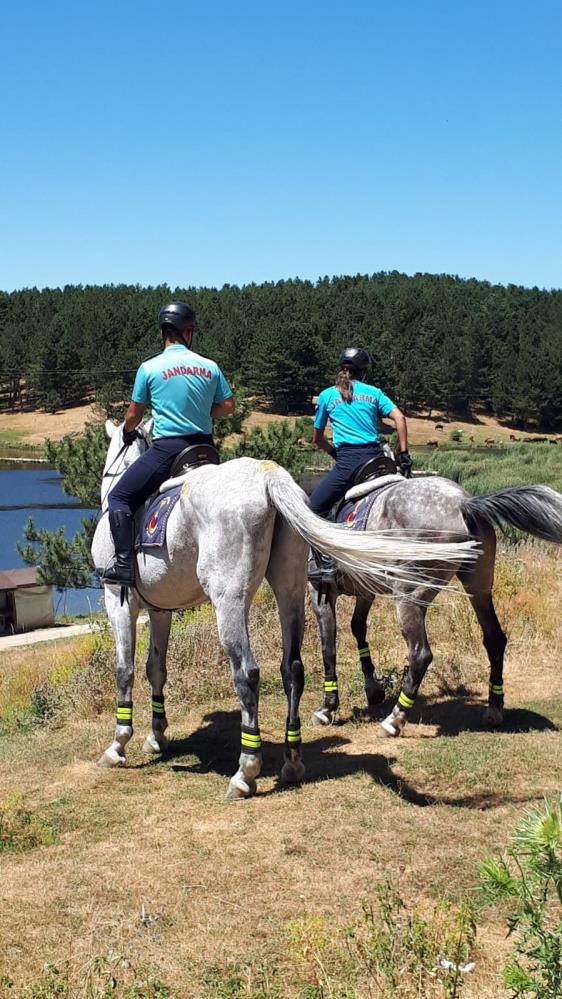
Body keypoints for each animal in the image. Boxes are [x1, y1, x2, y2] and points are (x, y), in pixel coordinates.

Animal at [92, 424, 476, 796]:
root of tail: (268, 476)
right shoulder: (161, 610)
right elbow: (155, 669)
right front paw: (156, 737)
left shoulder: (118, 600)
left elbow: (124, 670)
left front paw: (118, 744)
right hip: (290, 590)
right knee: (293, 668)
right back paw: (292, 760)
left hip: (230, 600)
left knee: (248, 673)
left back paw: (246, 771)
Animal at [308, 472, 560, 740]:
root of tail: (463, 503)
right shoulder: (366, 592)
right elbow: (357, 629)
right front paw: (373, 689)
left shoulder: (320, 593)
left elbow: (328, 649)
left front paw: (327, 708)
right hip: (478, 588)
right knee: (494, 639)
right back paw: (494, 708)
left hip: (409, 597)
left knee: (420, 654)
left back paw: (394, 720)